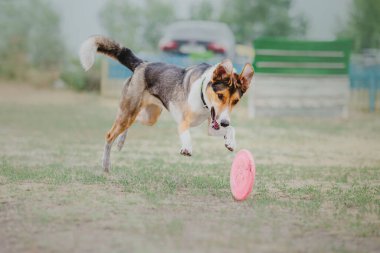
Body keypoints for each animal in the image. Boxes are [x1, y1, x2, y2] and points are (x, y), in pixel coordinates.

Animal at [78, 35, 254, 172]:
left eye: (236, 101)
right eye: (220, 96)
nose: (224, 122)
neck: (203, 97)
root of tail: (142, 64)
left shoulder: (213, 126)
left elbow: (231, 129)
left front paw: (230, 141)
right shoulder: (183, 118)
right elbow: (185, 131)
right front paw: (187, 147)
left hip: (148, 117)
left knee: (131, 123)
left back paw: (120, 142)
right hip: (129, 110)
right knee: (110, 135)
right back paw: (106, 165)